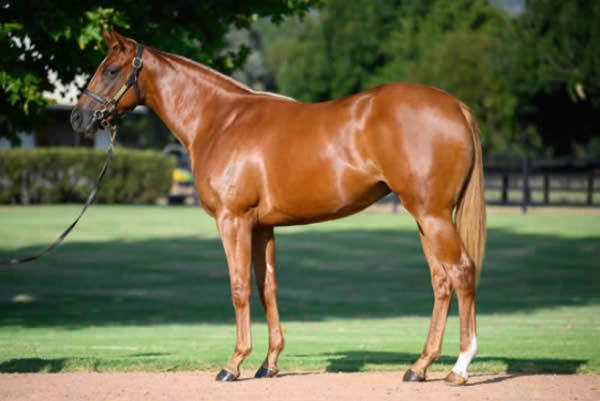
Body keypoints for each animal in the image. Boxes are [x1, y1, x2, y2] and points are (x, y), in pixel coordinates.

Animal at [70, 28, 486, 384]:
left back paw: (460, 367)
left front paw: (233, 364)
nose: (78, 117)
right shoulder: (261, 227)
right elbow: (265, 286)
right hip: (424, 218)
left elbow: (239, 286)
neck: (220, 120)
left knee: (462, 271)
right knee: (441, 281)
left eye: (110, 70)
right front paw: (268, 364)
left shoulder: (233, 220)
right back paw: (420, 365)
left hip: (432, 216)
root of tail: (456, 106)